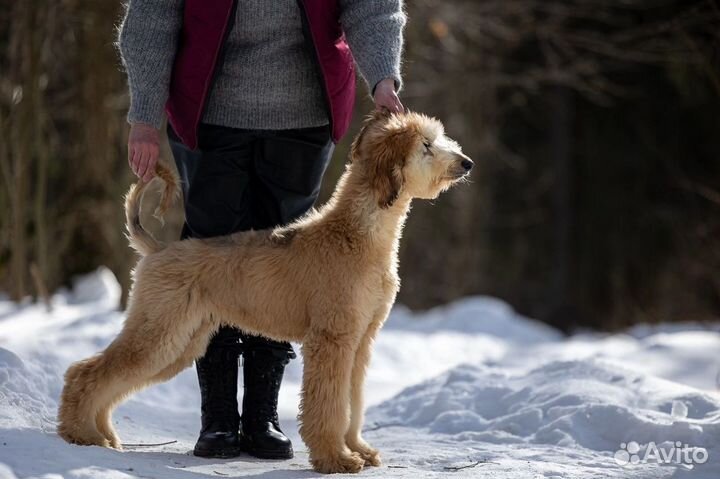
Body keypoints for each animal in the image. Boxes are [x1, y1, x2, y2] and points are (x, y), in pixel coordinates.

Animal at [56, 110, 472, 474]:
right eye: (426, 145)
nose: (467, 163)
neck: (357, 235)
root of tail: (157, 249)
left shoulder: (360, 340)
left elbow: (353, 402)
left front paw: (358, 449)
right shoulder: (333, 339)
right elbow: (331, 405)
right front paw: (335, 458)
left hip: (180, 339)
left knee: (107, 377)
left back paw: (102, 434)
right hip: (159, 330)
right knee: (86, 371)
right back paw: (79, 432)